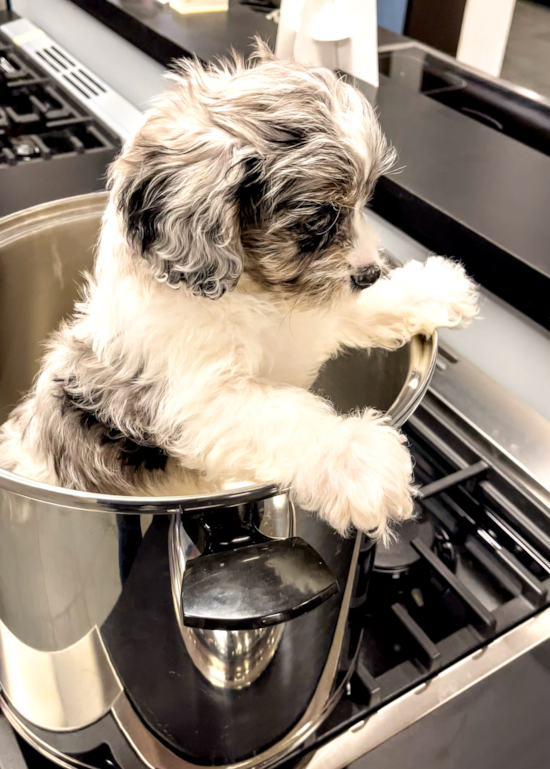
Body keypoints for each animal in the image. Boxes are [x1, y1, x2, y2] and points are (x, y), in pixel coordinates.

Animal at [0, 45, 478, 540]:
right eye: (319, 219)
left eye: (364, 203)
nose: (369, 272)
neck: (250, 292)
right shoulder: (203, 399)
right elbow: (288, 415)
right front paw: (361, 458)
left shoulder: (310, 314)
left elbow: (354, 309)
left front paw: (432, 287)